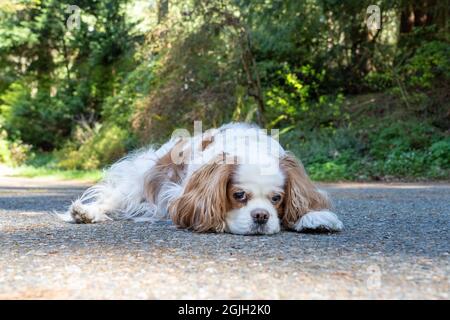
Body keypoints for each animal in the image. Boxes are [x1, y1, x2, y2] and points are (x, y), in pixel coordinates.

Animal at [59, 122, 342, 235]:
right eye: (238, 195)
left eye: (277, 198)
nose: (261, 216)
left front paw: (315, 217)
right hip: (138, 181)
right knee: (114, 200)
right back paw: (87, 213)